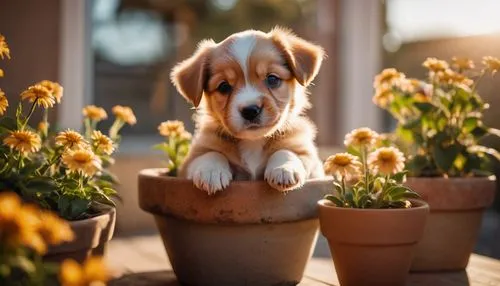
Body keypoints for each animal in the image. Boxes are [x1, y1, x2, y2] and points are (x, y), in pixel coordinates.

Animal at [171, 27, 324, 194]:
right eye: (224, 86)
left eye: (272, 79)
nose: (250, 110)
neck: (253, 142)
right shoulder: (190, 162)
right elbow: (210, 154)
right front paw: (211, 171)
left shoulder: (310, 159)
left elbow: (287, 151)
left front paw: (284, 169)